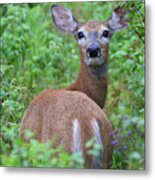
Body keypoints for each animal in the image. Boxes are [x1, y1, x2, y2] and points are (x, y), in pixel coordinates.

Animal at [19, 4, 128, 169]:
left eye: (106, 32)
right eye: (80, 34)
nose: (93, 50)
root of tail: (85, 121)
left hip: (59, 154)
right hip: (107, 155)